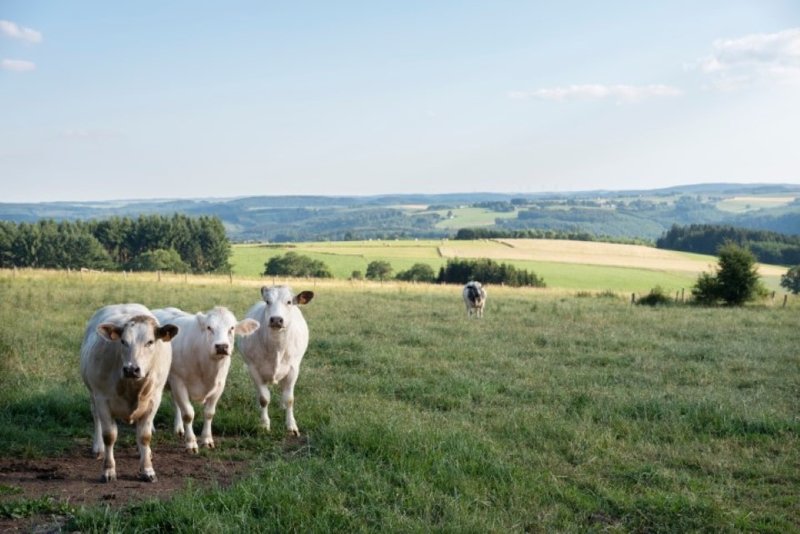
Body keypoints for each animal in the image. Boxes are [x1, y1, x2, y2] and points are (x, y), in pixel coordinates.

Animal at [78, 304, 178, 484]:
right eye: (123, 341)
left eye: (150, 342)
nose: (131, 369)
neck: (132, 387)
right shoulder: (102, 399)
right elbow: (109, 435)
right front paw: (108, 470)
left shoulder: (154, 400)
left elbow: (144, 436)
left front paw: (147, 469)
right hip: (92, 394)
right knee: (96, 417)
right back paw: (98, 448)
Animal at [153, 308, 260, 454]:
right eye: (209, 327)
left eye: (232, 328)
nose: (221, 346)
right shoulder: (178, 382)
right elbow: (188, 413)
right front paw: (191, 443)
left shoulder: (219, 386)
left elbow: (209, 413)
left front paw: (207, 440)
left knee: (176, 404)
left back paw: (179, 429)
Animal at [238, 286, 312, 438]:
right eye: (268, 301)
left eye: (289, 301)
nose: (276, 320)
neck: (276, 348)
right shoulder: (254, 369)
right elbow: (264, 398)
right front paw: (264, 424)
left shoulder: (293, 369)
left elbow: (289, 399)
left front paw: (291, 426)